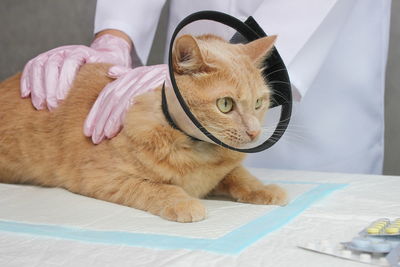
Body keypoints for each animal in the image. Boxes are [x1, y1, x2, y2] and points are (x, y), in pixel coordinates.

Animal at [0, 35, 288, 224]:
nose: (254, 133)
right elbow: (157, 187)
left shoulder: (223, 171)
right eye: (225, 104)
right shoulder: (102, 177)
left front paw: (264, 189)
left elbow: (241, 177)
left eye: (259, 103)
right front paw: (183, 201)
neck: (198, 155)